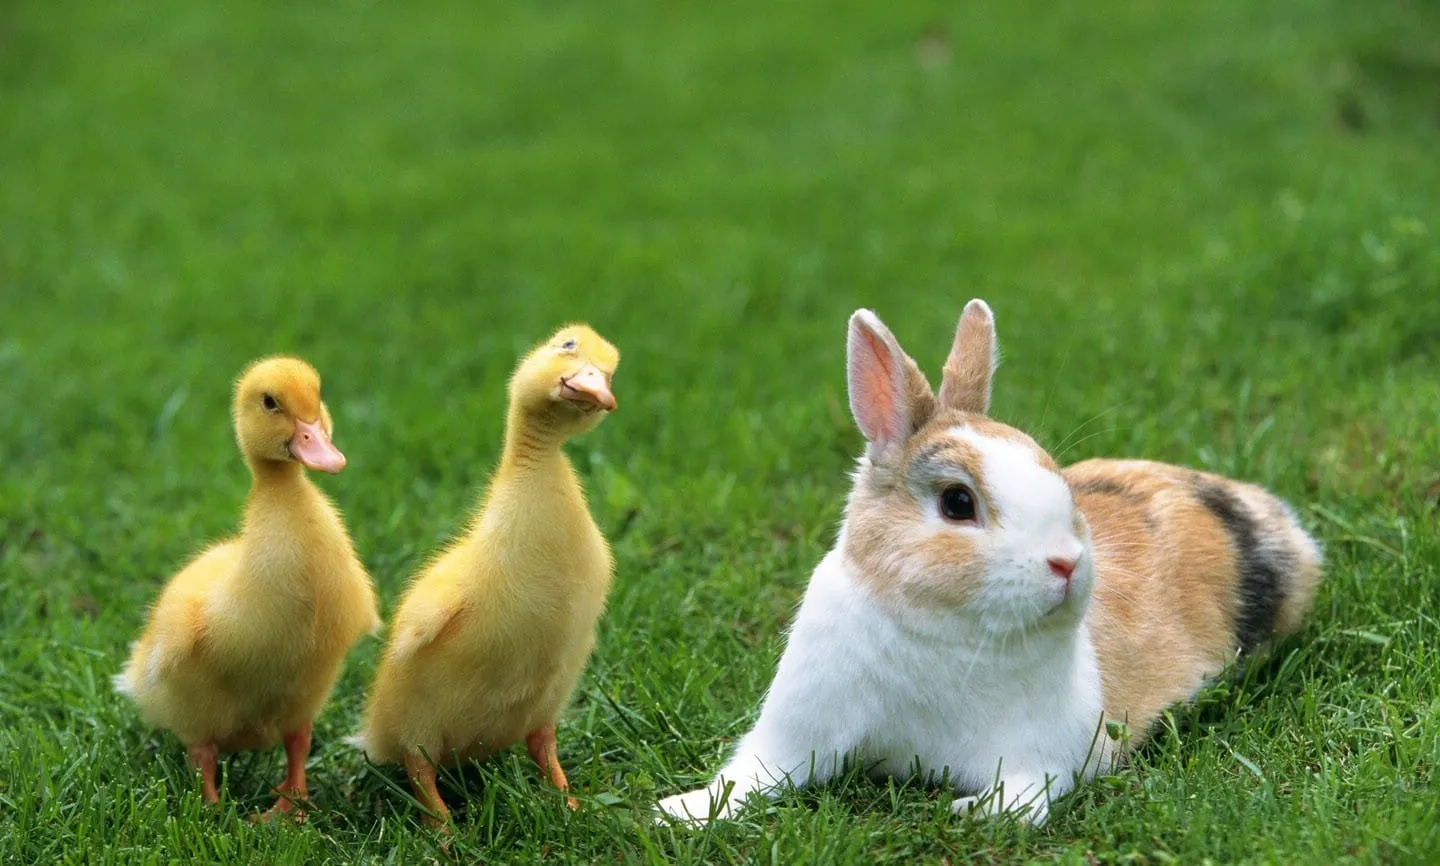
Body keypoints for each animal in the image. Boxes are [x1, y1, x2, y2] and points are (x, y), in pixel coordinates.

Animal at [657, 299, 1322, 826]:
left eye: (1055, 474)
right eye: (957, 502)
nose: (1068, 564)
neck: (939, 631)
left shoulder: (1045, 753)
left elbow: (1024, 795)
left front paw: (972, 811)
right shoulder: (797, 730)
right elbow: (752, 773)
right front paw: (679, 812)